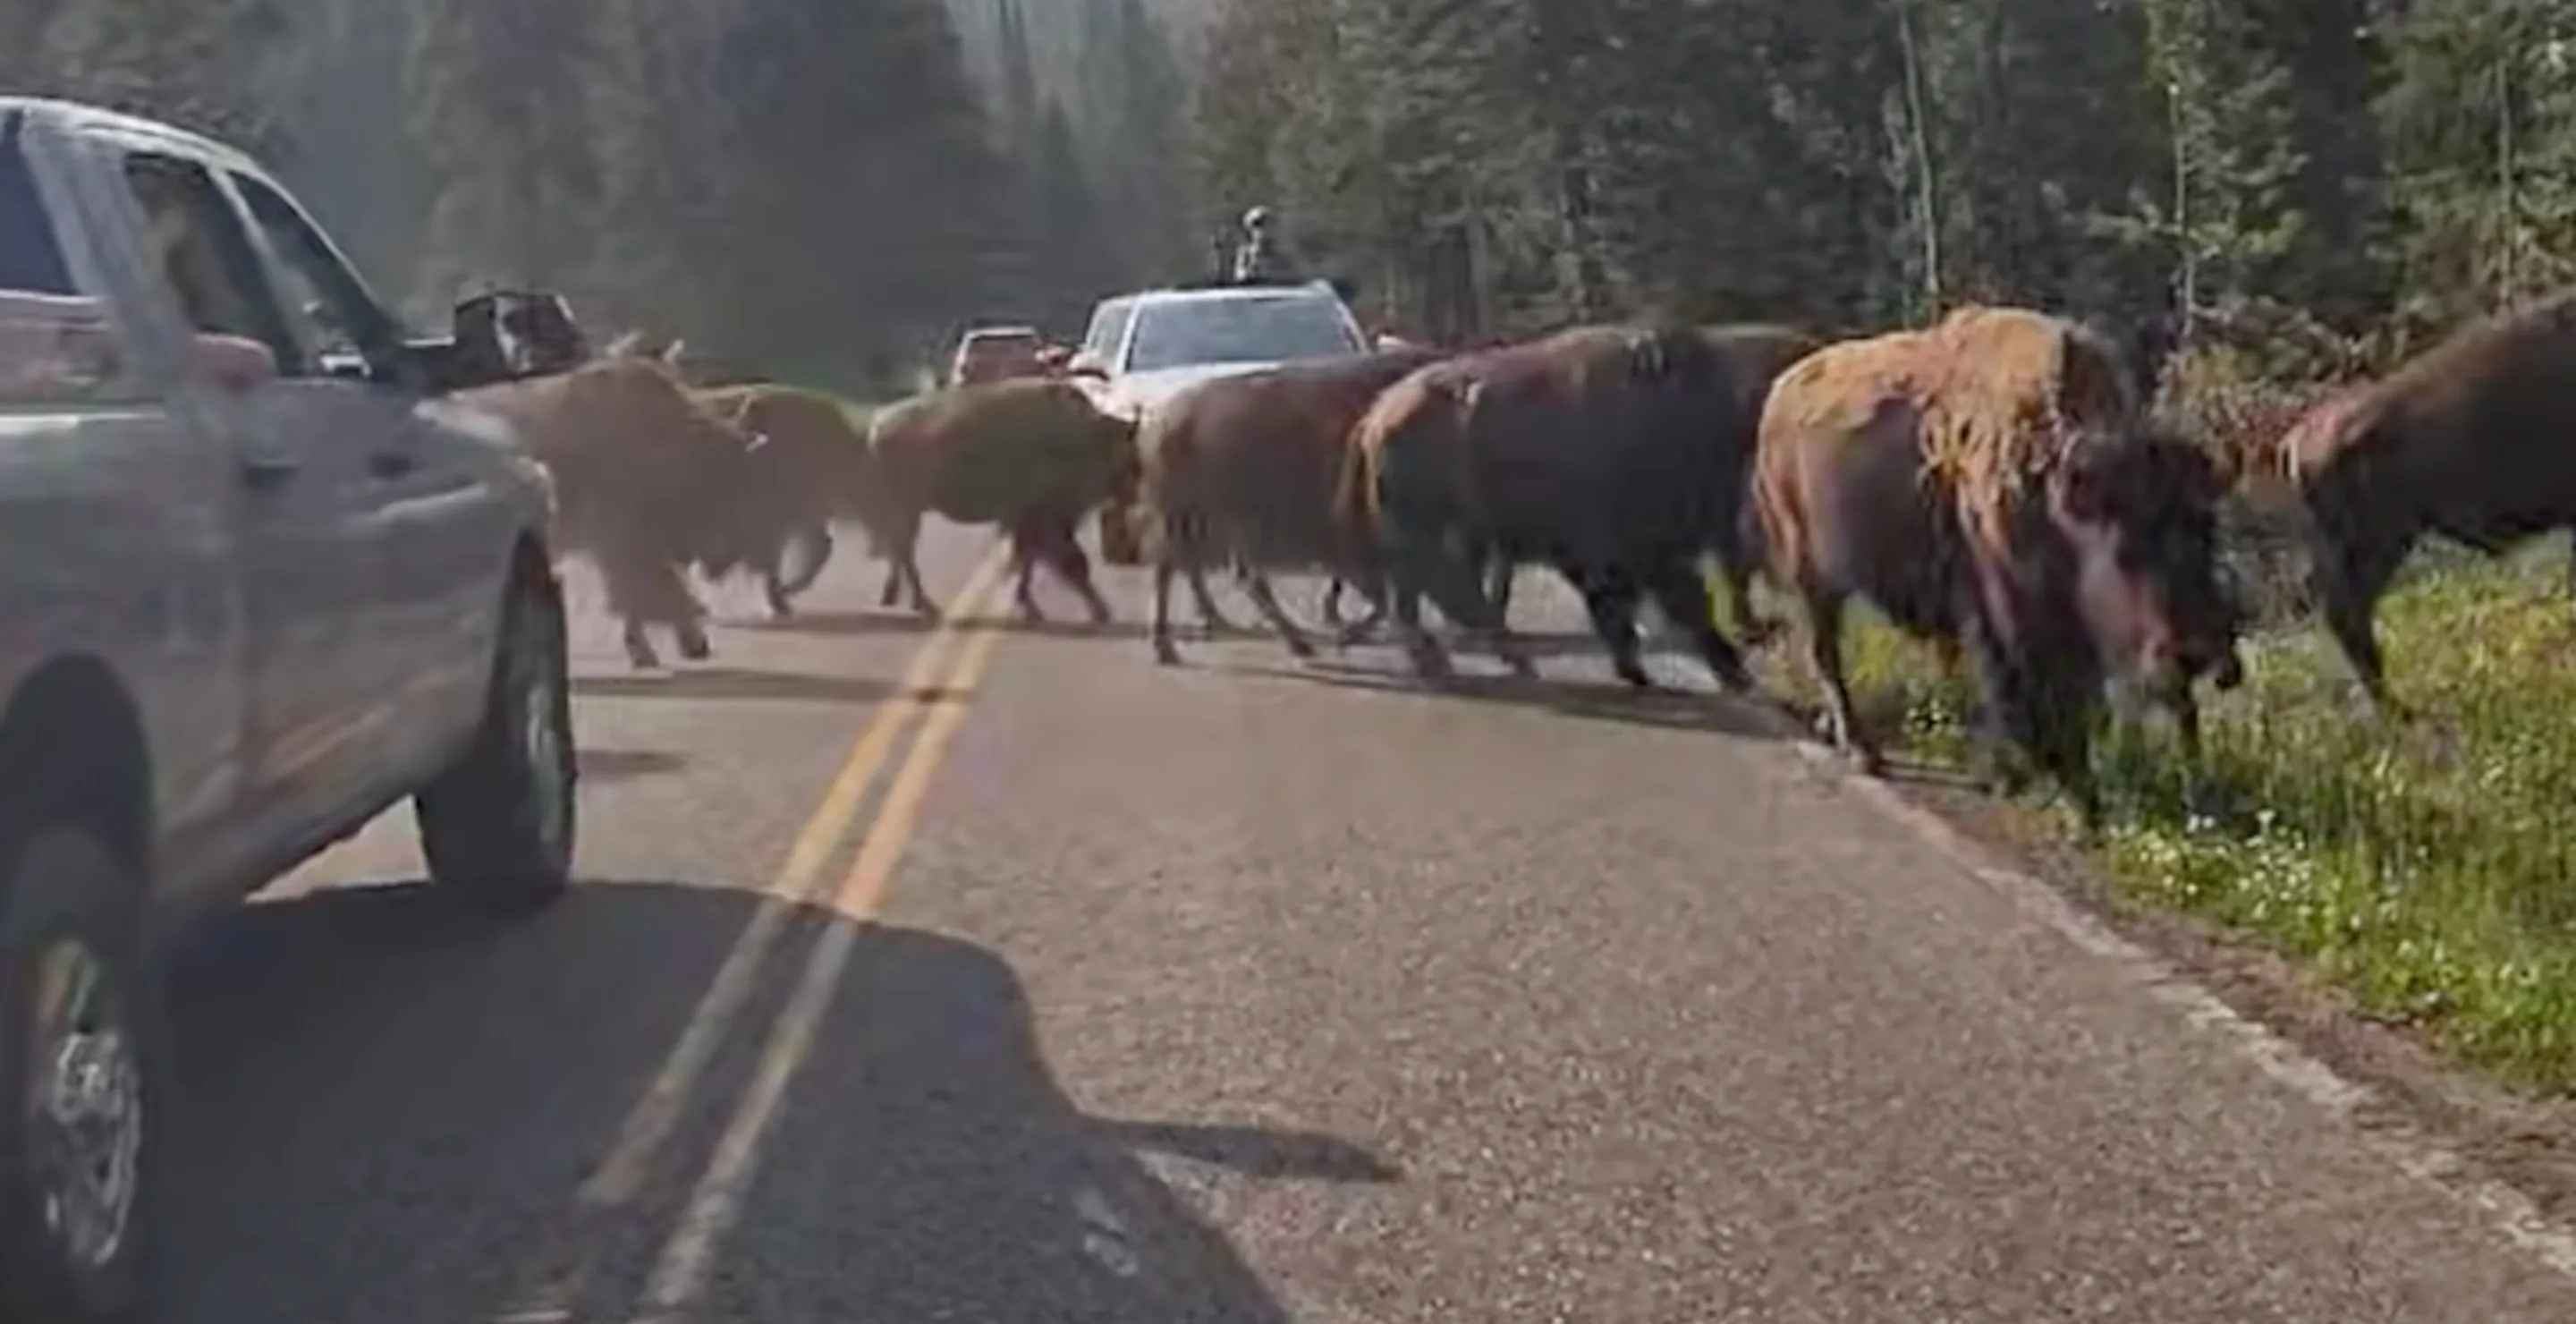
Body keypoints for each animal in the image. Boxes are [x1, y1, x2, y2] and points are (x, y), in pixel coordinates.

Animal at [865, 370, 1138, 618]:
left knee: (900, 549)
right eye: (1127, 455)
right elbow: (1071, 561)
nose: (1132, 492)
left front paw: (1030, 605)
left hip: (908, 510)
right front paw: (1101, 611)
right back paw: (923, 604)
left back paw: (898, 597)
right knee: (903, 550)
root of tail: (878, 424)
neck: (1085, 435)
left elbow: (1030, 560)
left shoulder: (1031, 523)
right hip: (907, 508)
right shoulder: (1043, 519)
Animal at [1143, 344, 1462, 664]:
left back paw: (1266, 634)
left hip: (1222, 518)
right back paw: (1167, 646)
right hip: (1182, 513)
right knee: (1170, 569)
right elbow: (1381, 592)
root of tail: (1164, 419)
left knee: (1234, 574)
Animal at [1339, 323, 1761, 684]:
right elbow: (1680, 603)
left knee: (1436, 590)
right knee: (1430, 591)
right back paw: (1460, 660)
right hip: (1425, 533)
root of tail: (1376, 417)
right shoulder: (1639, 549)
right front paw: (1733, 673)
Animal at [1751, 306, 2235, 824]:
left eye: (2208, 530)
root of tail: (1779, 395)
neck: (2053, 493)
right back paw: (1864, 751)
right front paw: (2048, 788)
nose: (2197, 655)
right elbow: (2026, 699)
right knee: (1826, 653)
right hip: (1811, 576)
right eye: (2124, 548)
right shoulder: (2000, 614)